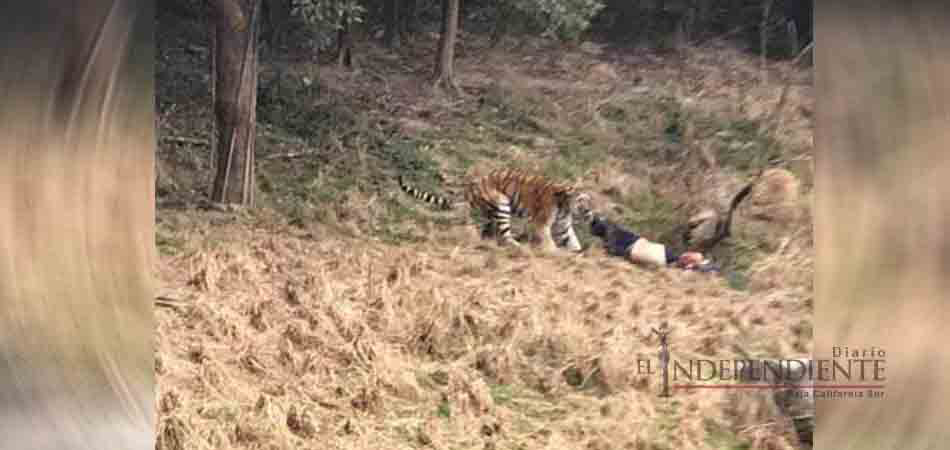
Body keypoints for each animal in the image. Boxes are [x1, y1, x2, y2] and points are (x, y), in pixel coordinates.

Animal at [397, 168, 594, 252]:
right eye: (582, 200)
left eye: (590, 202)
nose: (590, 213)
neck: (566, 206)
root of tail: (470, 187)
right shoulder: (540, 223)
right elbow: (547, 239)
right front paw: (553, 252)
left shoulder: (563, 225)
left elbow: (572, 240)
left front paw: (578, 253)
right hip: (501, 202)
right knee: (505, 235)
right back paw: (518, 246)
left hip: (490, 211)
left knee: (487, 229)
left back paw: (487, 242)